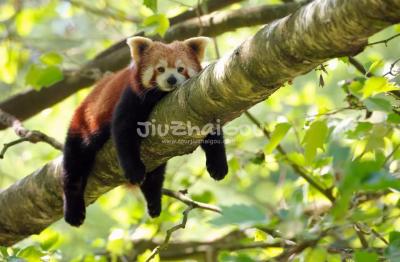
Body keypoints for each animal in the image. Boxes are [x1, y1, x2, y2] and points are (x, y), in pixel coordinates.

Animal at [64, 35, 230, 226]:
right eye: (160, 69)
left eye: (181, 69)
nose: (172, 79)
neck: (161, 95)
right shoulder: (133, 96)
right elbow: (124, 132)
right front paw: (134, 171)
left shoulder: (198, 105)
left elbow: (212, 134)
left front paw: (218, 165)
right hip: (83, 125)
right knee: (75, 165)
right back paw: (73, 211)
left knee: (155, 175)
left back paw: (153, 201)